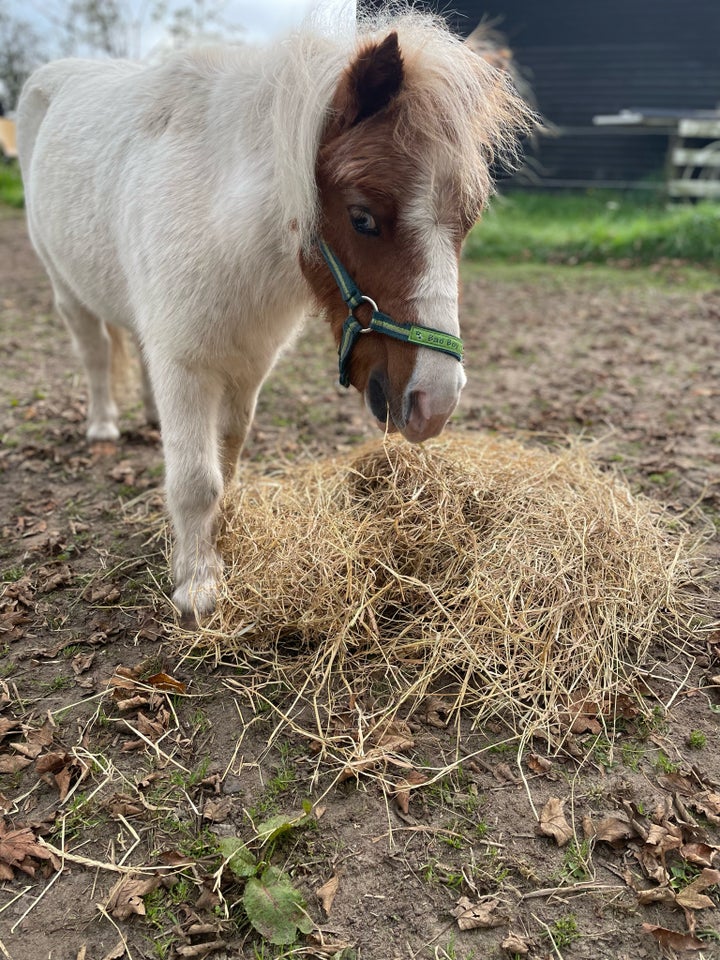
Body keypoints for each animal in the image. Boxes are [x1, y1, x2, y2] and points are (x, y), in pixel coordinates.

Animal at [16, 7, 536, 624]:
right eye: (362, 217)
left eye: (468, 221)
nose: (433, 403)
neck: (219, 214)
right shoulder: (185, 364)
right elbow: (196, 478)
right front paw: (197, 585)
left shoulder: (247, 362)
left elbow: (229, 453)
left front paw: (223, 535)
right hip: (65, 289)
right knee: (95, 353)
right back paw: (103, 425)